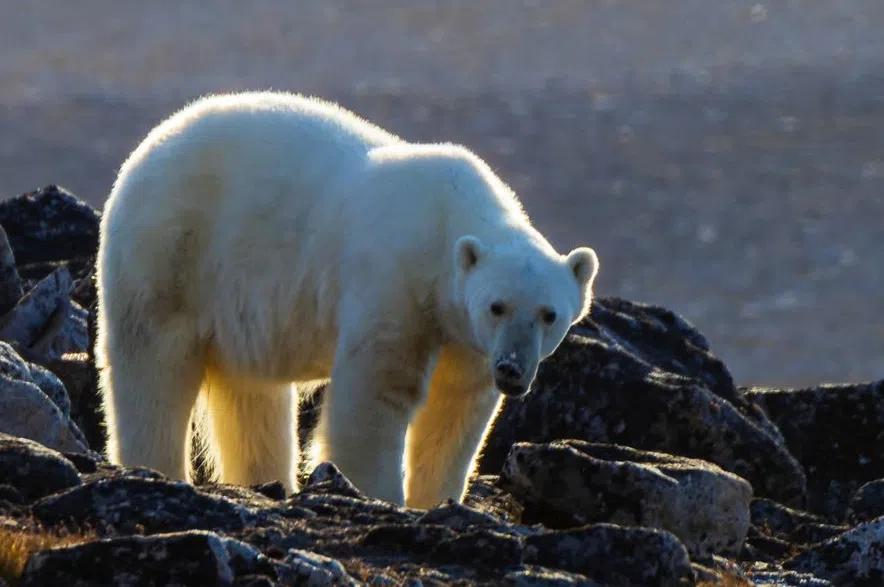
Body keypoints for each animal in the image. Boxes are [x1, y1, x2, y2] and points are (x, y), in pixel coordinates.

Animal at [96, 92, 599, 508]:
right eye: (497, 306)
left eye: (549, 314)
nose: (512, 369)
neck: (444, 222)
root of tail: (148, 148)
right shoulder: (398, 285)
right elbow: (376, 393)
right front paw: (381, 495)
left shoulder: (466, 339)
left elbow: (456, 410)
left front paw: (437, 501)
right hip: (171, 252)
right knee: (153, 368)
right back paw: (158, 468)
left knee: (252, 395)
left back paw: (267, 480)